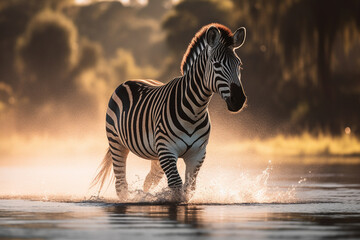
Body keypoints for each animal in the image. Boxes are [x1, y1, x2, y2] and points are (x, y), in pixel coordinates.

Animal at [91, 23, 246, 201]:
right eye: (217, 65)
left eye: (239, 64)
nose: (239, 100)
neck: (195, 110)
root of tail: (131, 80)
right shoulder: (167, 150)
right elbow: (176, 185)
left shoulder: (197, 154)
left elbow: (190, 187)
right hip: (117, 143)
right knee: (121, 184)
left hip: (155, 154)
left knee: (149, 179)